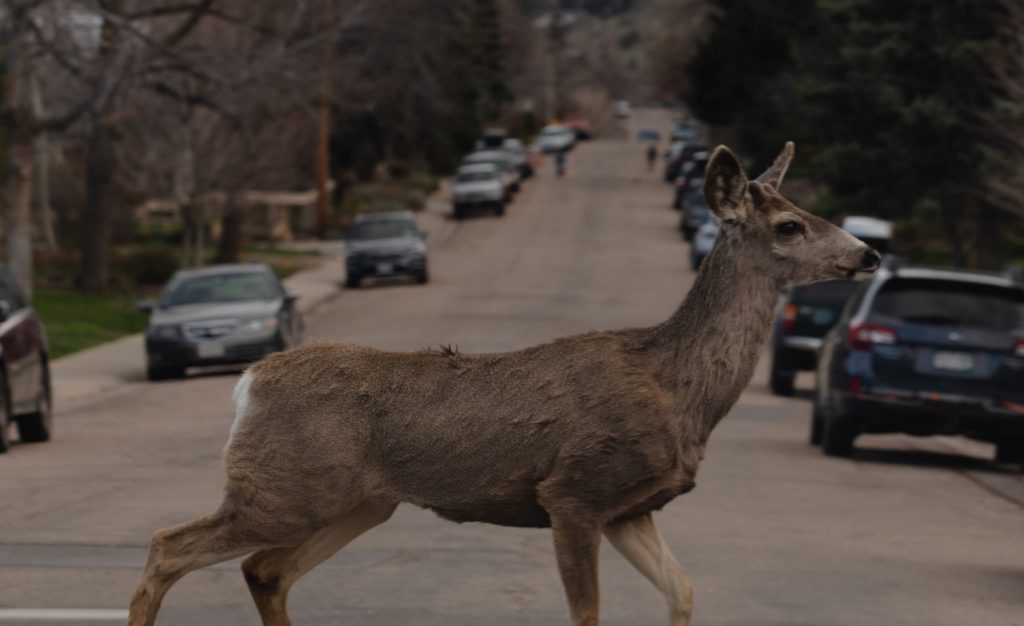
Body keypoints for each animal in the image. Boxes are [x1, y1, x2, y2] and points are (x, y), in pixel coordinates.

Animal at [127, 142, 880, 626]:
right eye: (790, 224)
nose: (870, 253)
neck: (676, 388)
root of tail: (249, 381)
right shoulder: (574, 491)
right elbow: (588, 613)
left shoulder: (632, 508)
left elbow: (684, 593)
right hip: (284, 489)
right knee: (168, 545)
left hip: (359, 503)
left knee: (264, 570)